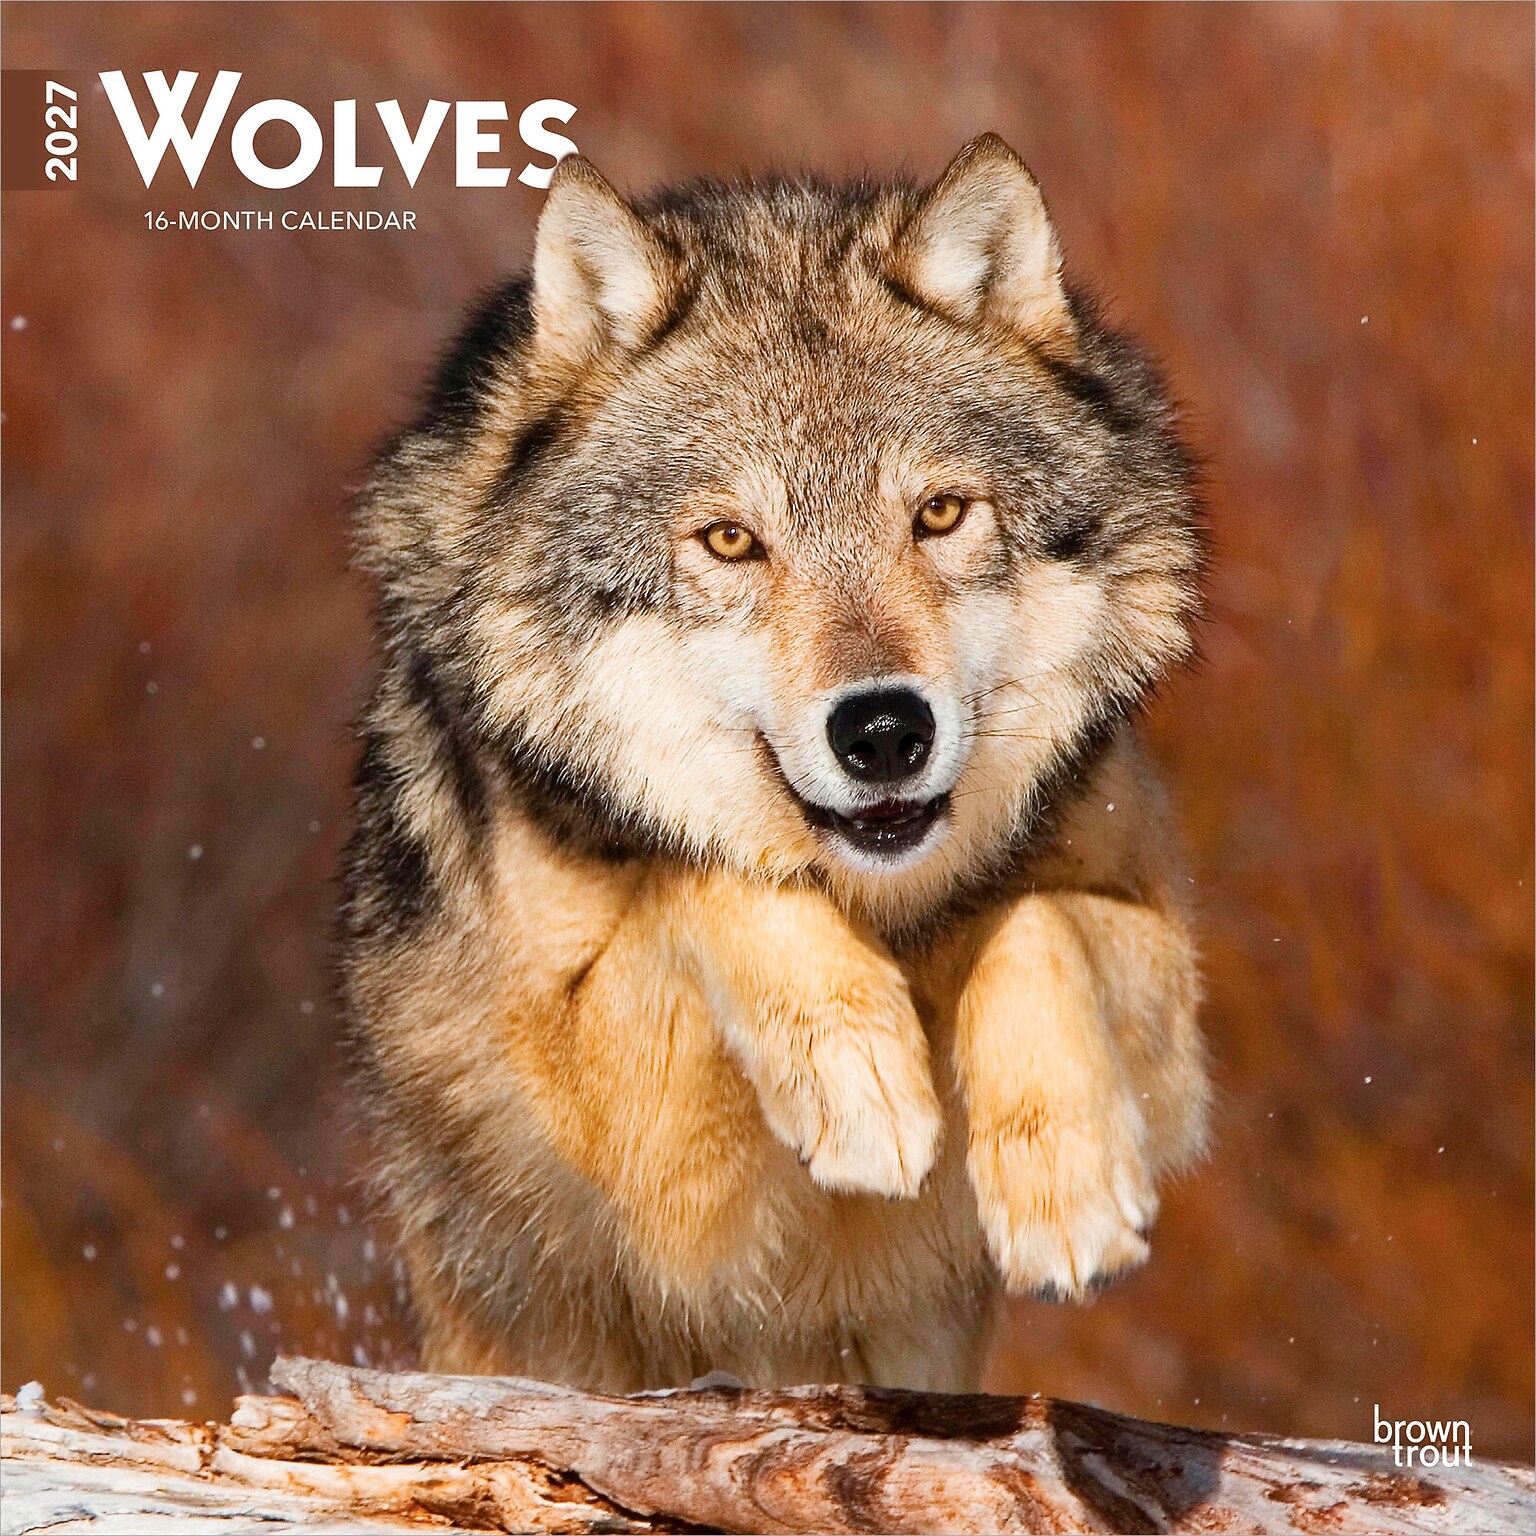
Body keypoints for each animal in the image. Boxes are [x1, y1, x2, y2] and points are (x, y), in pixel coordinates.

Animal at [339, 134, 1209, 1393]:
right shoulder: (644, 1158)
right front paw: (858, 1068)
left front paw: (1068, 1195)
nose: (885, 730)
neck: (882, 908)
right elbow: (696, 874)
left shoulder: (1166, 994)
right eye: (731, 541)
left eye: (940, 514)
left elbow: (1028, 921)